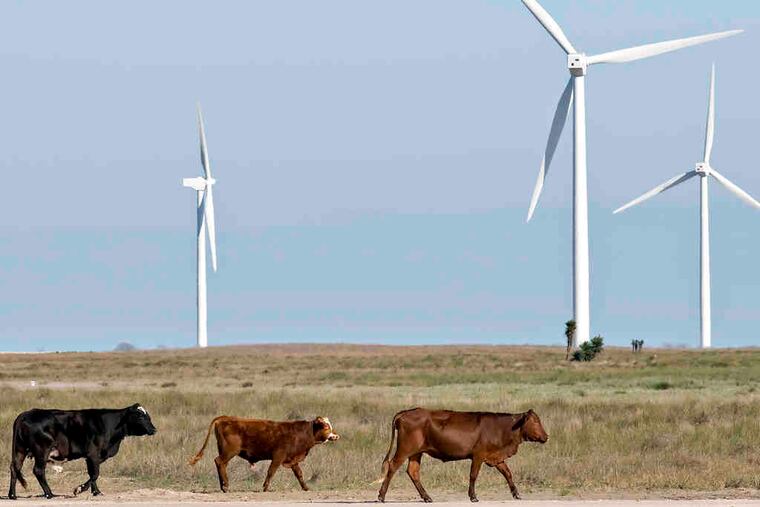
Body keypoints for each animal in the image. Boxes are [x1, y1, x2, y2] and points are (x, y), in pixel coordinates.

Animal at [8, 403, 157, 500]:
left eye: (148, 416)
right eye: (139, 416)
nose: (154, 429)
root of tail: (26, 413)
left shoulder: (94, 457)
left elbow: (92, 473)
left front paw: (96, 492)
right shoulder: (93, 453)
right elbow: (95, 474)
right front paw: (78, 489)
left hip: (20, 449)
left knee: (15, 468)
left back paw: (12, 495)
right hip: (41, 450)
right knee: (38, 470)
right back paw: (49, 494)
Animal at [188, 415, 339, 493]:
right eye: (326, 426)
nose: (336, 436)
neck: (302, 433)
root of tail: (224, 418)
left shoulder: (292, 459)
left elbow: (299, 474)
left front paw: (306, 487)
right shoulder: (278, 456)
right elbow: (271, 471)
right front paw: (265, 487)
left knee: (221, 464)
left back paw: (223, 485)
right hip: (229, 451)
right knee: (219, 462)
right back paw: (225, 486)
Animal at [376, 408, 548, 503]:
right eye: (535, 422)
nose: (546, 436)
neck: (501, 428)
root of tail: (406, 412)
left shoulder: (496, 457)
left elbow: (508, 473)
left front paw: (516, 494)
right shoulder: (478, 455)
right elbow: (473, 475)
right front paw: (473, 496)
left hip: (416, 453)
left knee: (413, 471)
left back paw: (427, 497)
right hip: (405, 449)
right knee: (392, 466)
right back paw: (381, 496)